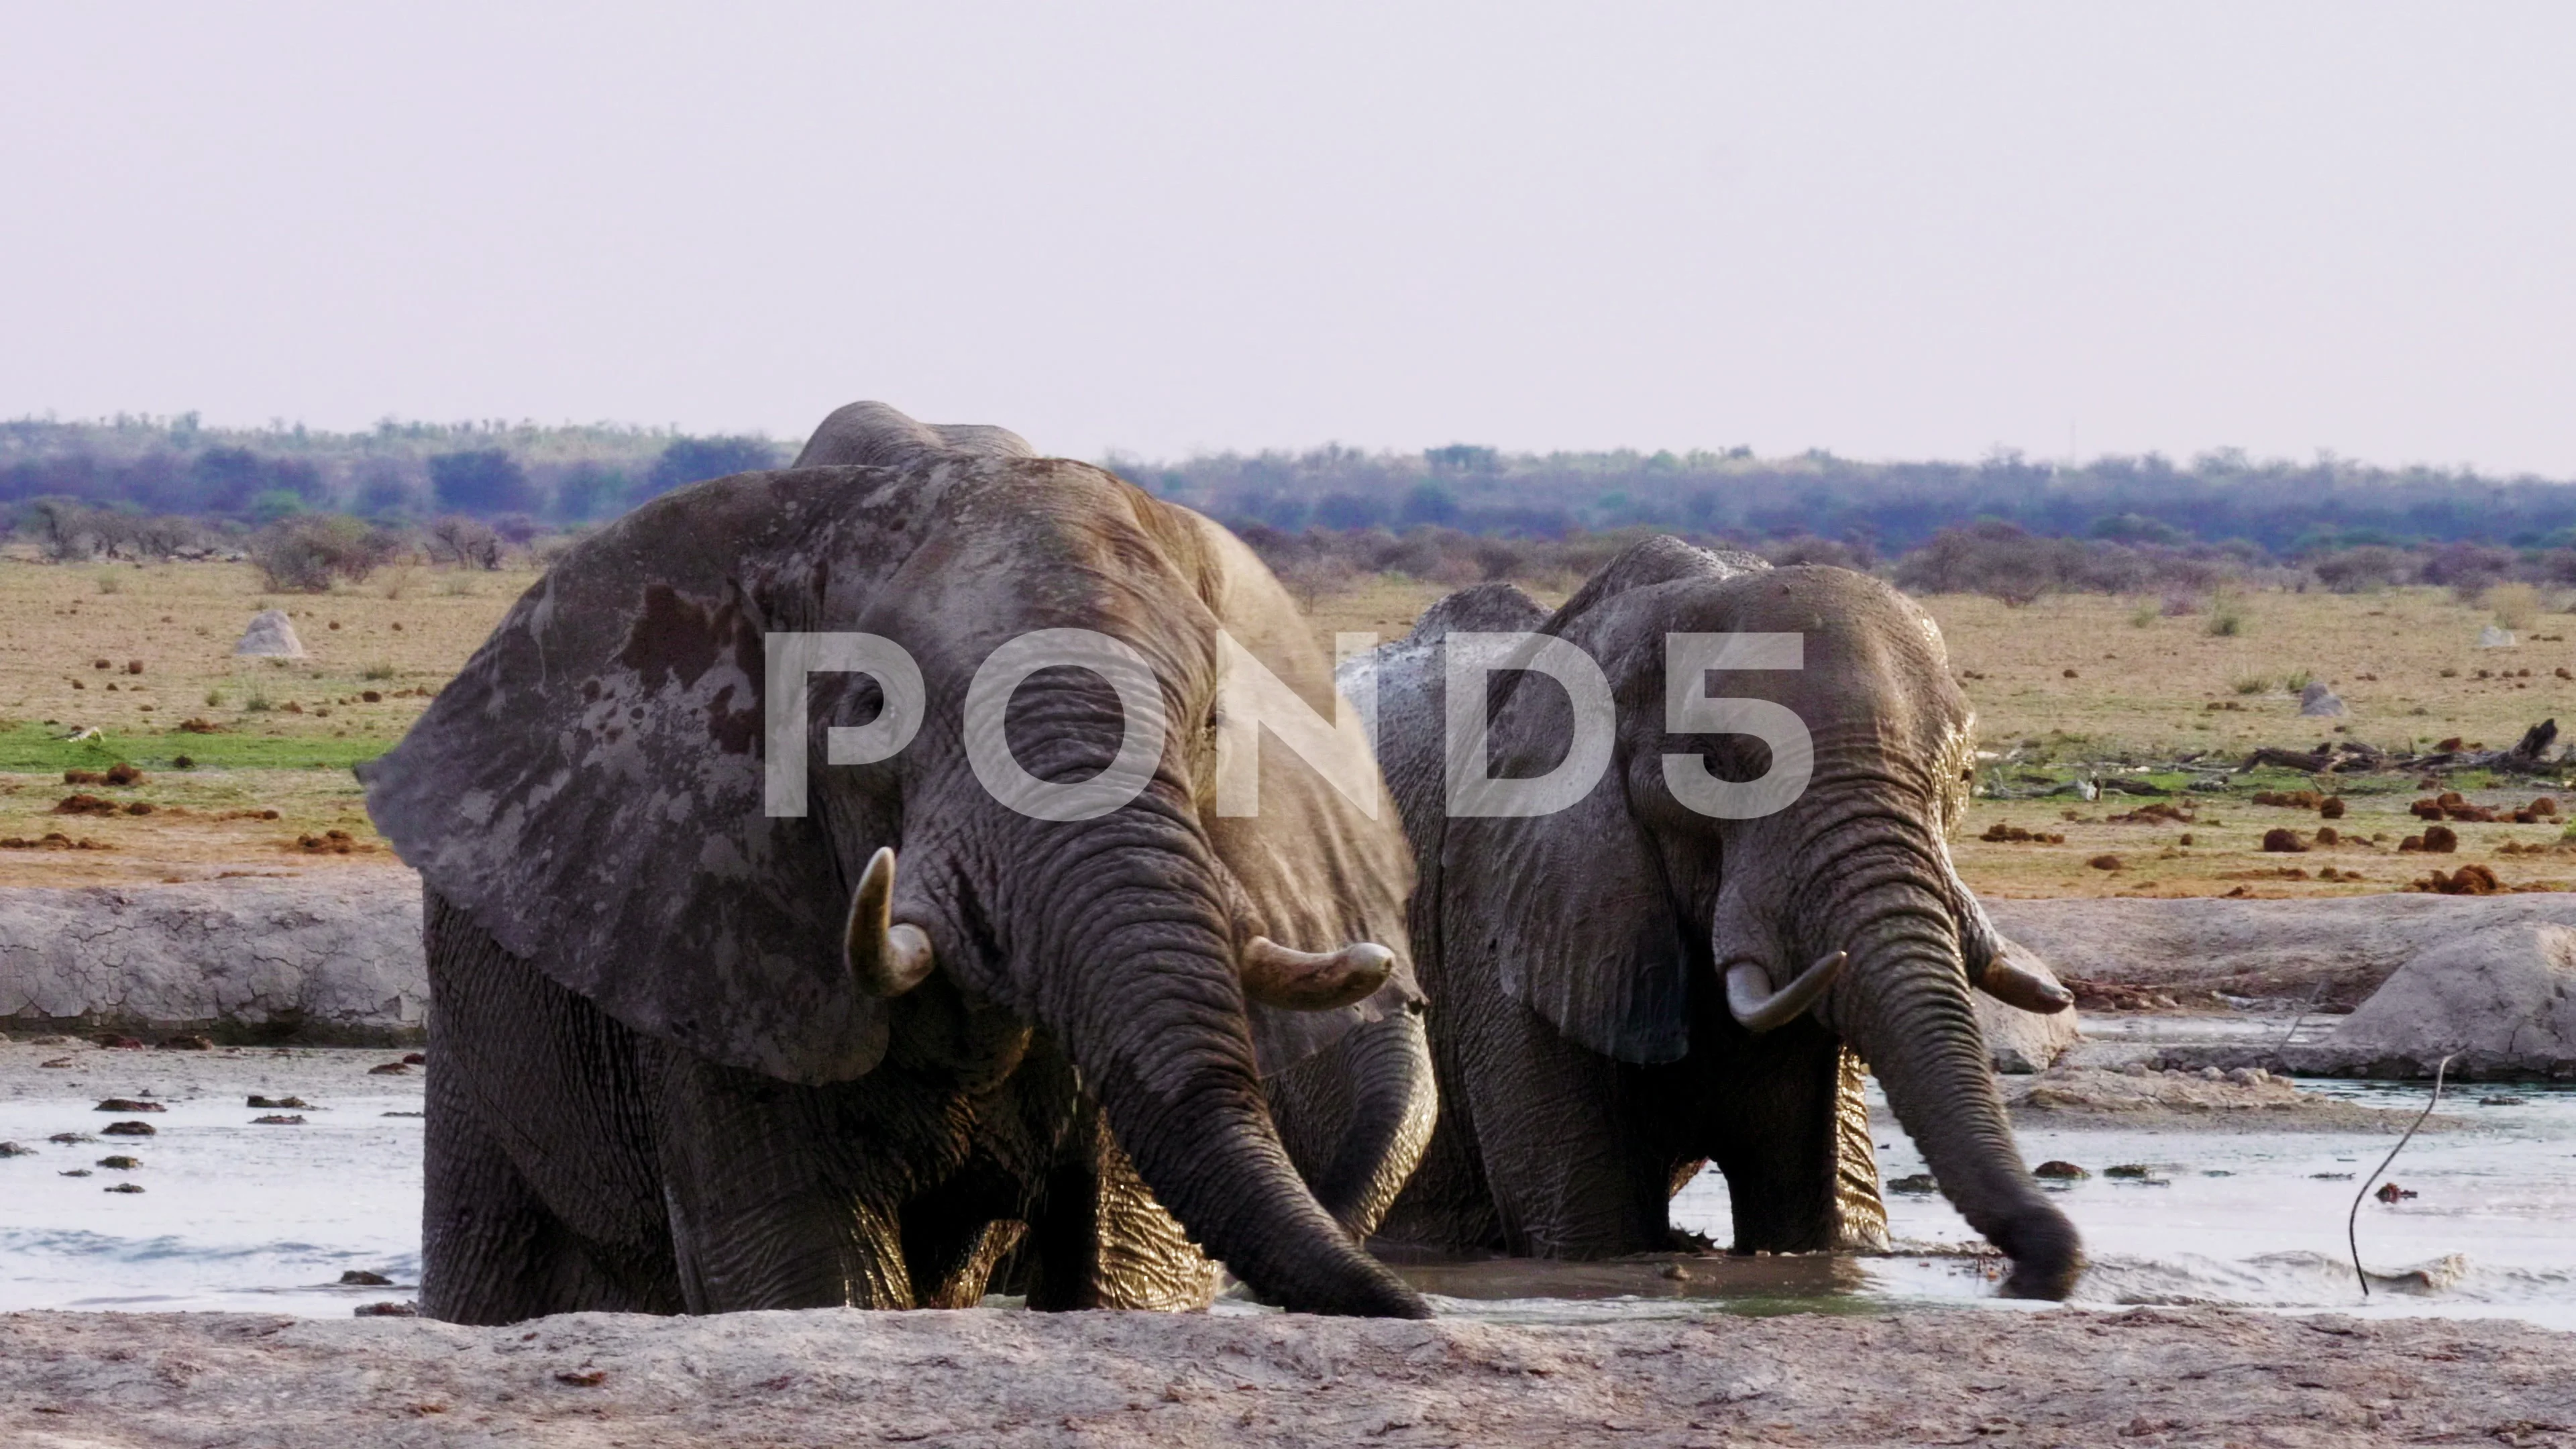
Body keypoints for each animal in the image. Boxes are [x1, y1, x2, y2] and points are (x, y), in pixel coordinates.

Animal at [368, 399, 1432, 1315]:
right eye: (872, 709)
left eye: (1210, 724)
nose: (1417, 1309)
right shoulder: (718, 932)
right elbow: (803, 1260)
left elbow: (1124, 1259)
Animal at [1360, 533, 2081, 1299]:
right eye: (1720, 766)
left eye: (1965, 777)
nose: (2032, 1273)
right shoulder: (1507, 901)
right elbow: (1584, 1226)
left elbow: (1815, 1213)